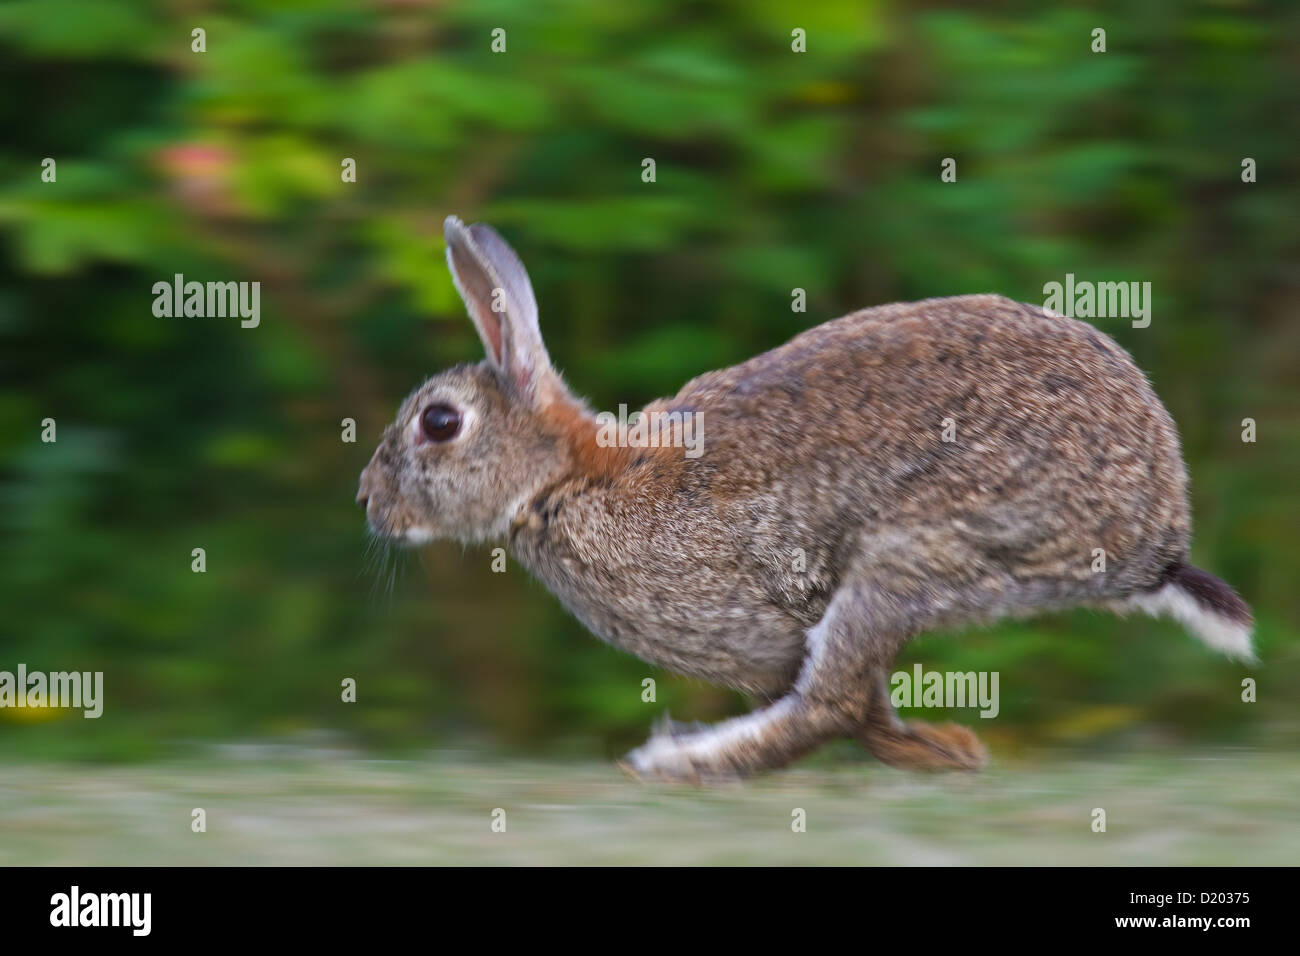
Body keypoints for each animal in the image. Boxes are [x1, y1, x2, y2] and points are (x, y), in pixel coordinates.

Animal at [353, 218, 1248, 785]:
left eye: (440, 423)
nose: (368, 501)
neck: (566, 479)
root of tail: (1158, 536)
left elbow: (845, 711)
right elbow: (870, 720)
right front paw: (944, 749)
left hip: (912, 555)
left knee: (828, 702)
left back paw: (676, 763)